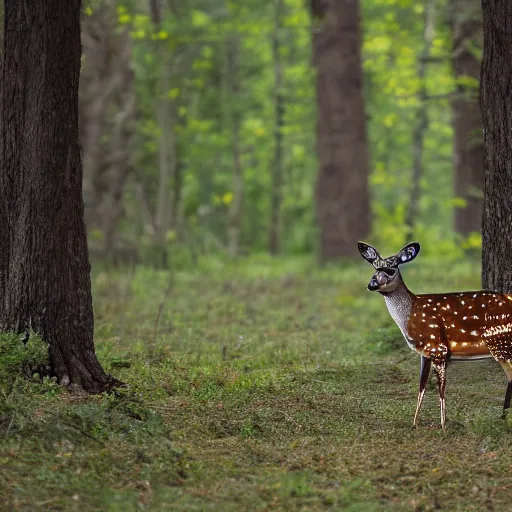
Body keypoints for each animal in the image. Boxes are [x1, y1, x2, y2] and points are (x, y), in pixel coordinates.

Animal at [358, 242, 512, 430]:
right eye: (374, 267)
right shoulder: (425, 354)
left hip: (501, 343)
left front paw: (443, 425)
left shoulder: (439, 348)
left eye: (390, 269)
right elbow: (421, 386)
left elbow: (441, 388)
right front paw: (415, 423)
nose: (371, 284)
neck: (410, 313)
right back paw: (503, 417)